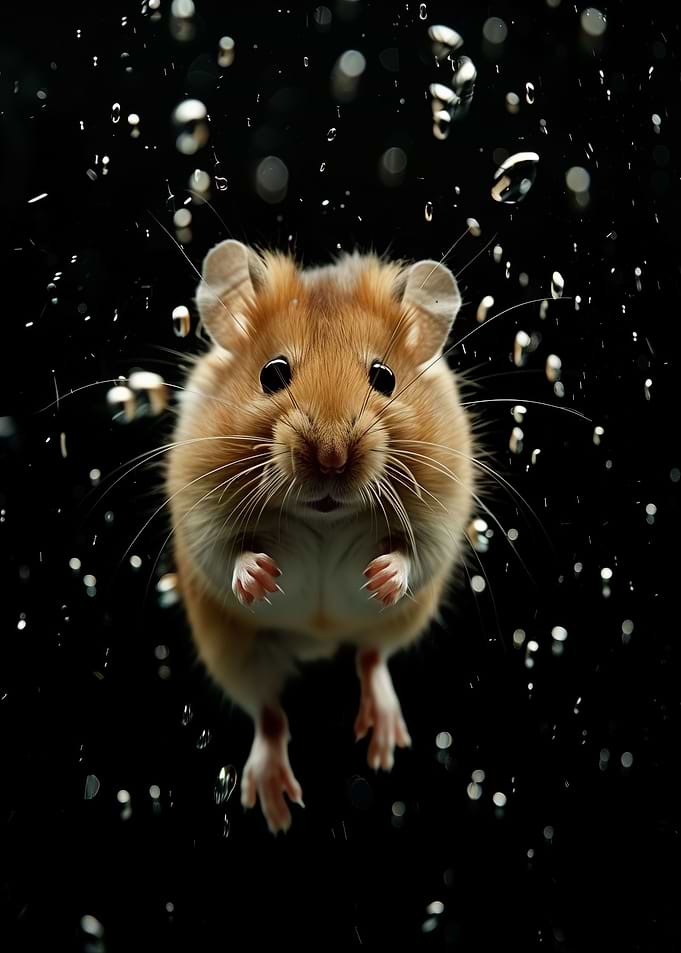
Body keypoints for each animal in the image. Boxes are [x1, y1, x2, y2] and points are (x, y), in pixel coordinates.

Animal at [167, 240, 475, 833]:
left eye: (384, 377)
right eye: (273, 374)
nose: (332, 458)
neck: (324, 516)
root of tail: (318, 641)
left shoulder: (443, 508)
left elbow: (413, 552)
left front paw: (379, 576)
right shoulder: (196, 505)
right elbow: (227, 551)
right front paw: (262, 578)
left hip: (400, 622)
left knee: (371, 657)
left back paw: (384, 745)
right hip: (233, 648)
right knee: (268, 714)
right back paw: (275, 806)